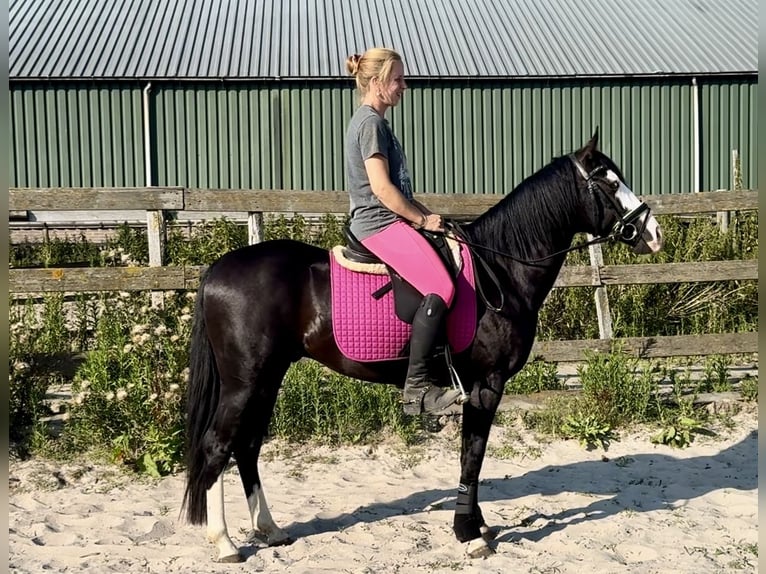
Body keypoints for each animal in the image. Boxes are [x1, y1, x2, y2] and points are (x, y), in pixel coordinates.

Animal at [182, 131, 663, 562]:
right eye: (608, 182)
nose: (653, 233)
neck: (499, 269)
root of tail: (217, 270)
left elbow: (474, 456)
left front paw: (478, 525)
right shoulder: (486, 385)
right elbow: (473, 455)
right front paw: (469, 534)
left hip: (268, 377)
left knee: (246, 446)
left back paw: (270, 529)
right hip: (246, 381)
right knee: (217, 446)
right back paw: (224, 543)